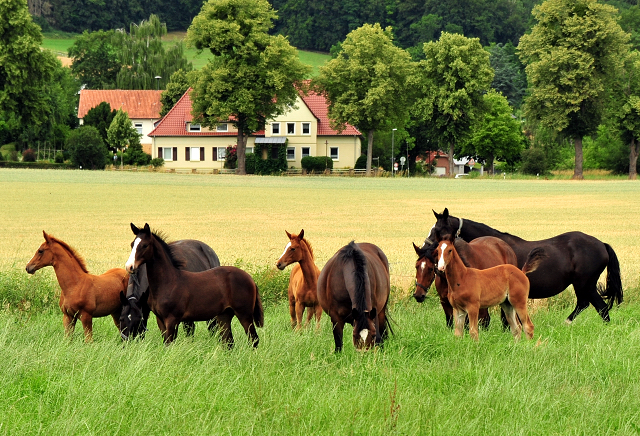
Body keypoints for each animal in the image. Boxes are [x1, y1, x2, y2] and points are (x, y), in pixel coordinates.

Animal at [126, 223, 264, 346]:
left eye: (144, 245)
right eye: (132, 244)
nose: (129, 266)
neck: (168, 282)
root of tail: (250, 278)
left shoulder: (172, 320)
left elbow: (170, 344)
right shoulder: (160, 320)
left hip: (244, 314)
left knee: (253, 339)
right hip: (224, 316)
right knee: (229, 342)